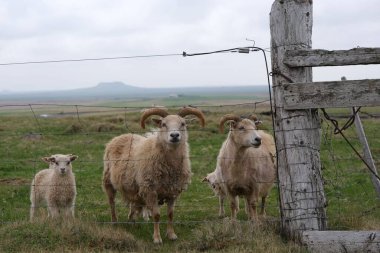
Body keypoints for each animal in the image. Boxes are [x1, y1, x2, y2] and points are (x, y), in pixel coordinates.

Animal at [102, 106, 205, 243]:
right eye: (163, 124)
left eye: (183, 123)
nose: (174, 135)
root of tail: (120, 136)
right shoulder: (151, 191)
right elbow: (156, 215)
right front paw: (157, 238)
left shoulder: (172, 192)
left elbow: (170, 214)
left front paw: (171, 235)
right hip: (108, 181)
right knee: (112, 202)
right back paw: (114, 222)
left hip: (132, 186)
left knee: (132, 202)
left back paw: (132, 220)